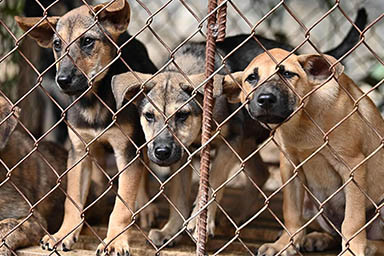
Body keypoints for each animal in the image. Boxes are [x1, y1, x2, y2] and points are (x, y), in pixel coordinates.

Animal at [14, 1, 157, 255]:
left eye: (88, 41)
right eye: (57, 44)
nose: (62, 80)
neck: (94, 101)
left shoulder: (127, 151)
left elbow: (123, 204)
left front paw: (114, 241)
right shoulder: (80, 151)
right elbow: (72, 200)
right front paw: (63, 234)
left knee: (144, 172)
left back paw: (145, 207)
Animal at [216, 48, 384, 256]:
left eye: (288, 74)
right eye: (252, 78)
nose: (266, 99)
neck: (302, 120)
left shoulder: (353, 166)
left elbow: (352, 220)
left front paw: (352, 250)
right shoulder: (291, 167)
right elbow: (291, 213)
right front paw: (285, 244)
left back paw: (369, 246)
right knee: (332, 233)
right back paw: (317, 238)